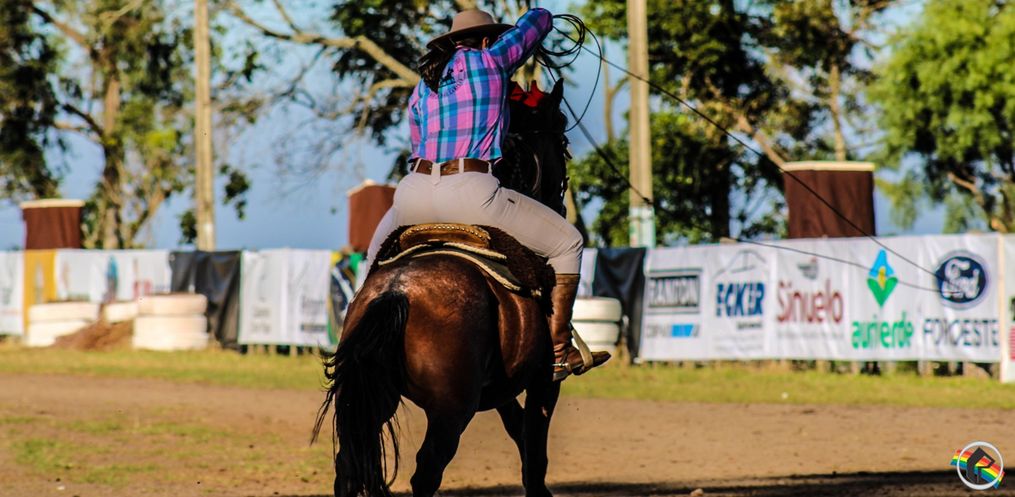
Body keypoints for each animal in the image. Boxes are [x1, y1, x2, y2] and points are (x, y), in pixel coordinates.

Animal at [314, 79, 573, 497]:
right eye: (562, 137)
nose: (561, 205)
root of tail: (396, 292)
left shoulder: (497, 386)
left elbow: (518, 429)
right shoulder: (541, 381)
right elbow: (534, 449)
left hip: (373, 399)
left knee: (347, 469)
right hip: (450, 412)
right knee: (426, 472)